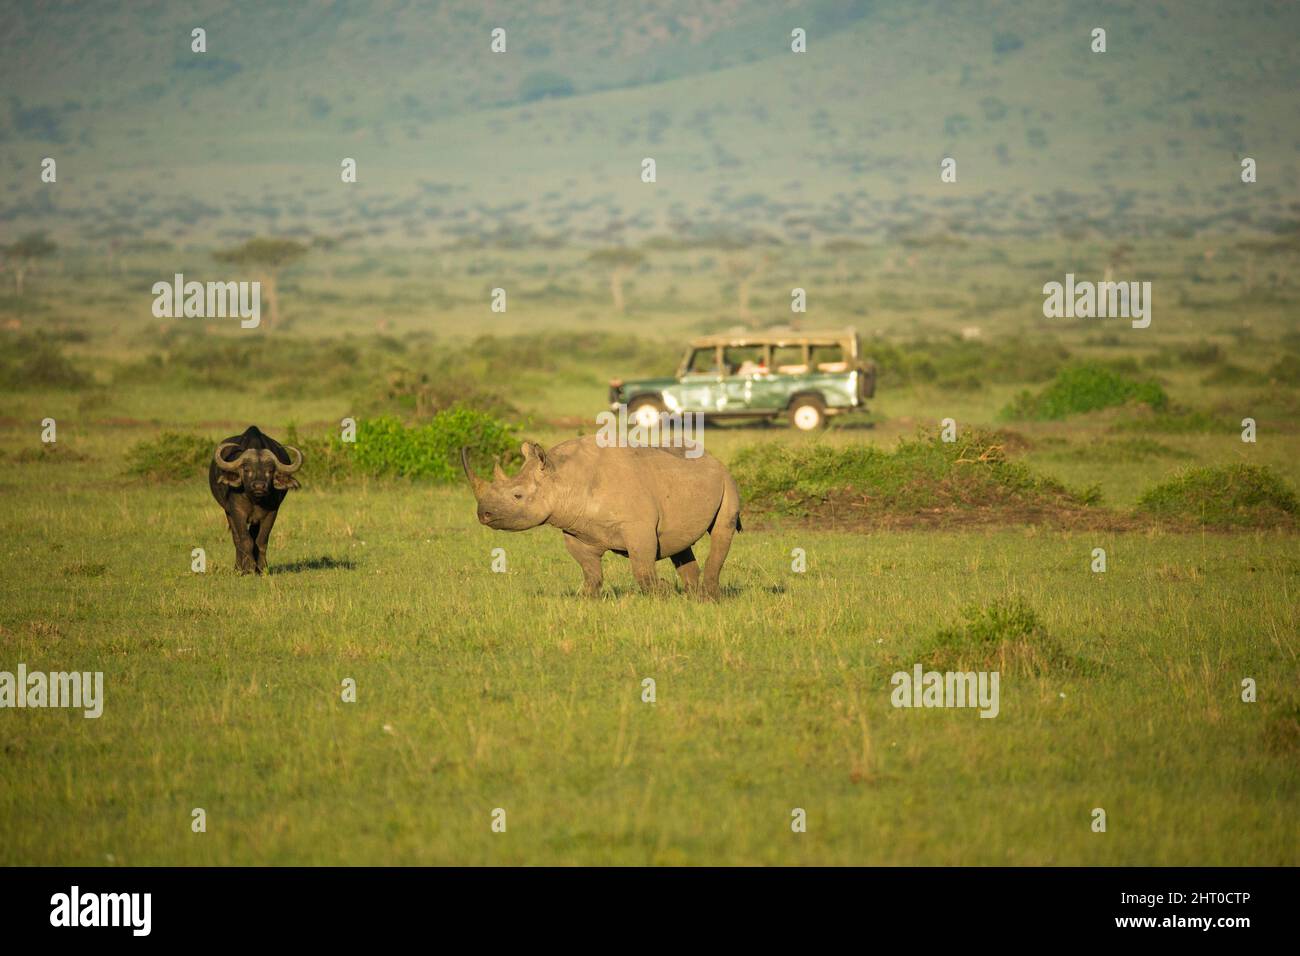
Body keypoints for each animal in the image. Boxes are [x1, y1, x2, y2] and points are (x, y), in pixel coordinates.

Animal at [211, 429, 305, 574]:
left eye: (270, 471)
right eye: (247, 469)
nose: (259, 486)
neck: (255, 500)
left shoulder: (271, 513)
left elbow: (261, 540)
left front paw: (261, 568)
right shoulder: (237, 512)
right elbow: (245, 540)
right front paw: (248, 568)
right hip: (228, 512)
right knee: (237, 539)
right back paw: (238, 567)